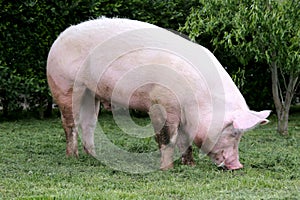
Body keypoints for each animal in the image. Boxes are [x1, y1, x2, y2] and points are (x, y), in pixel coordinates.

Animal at [47, 17, 272, 170]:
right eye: (234, 132)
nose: (238, 166)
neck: (200, 100)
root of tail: (59, 38)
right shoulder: (162, 102)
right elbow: (167, 137)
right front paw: (167, 169)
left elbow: (185, 140)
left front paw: (189, 165)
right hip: (63, 84)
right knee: (69, 123)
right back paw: (73, 157)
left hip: (90, 91)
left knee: (89, 123)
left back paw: (93, 156)